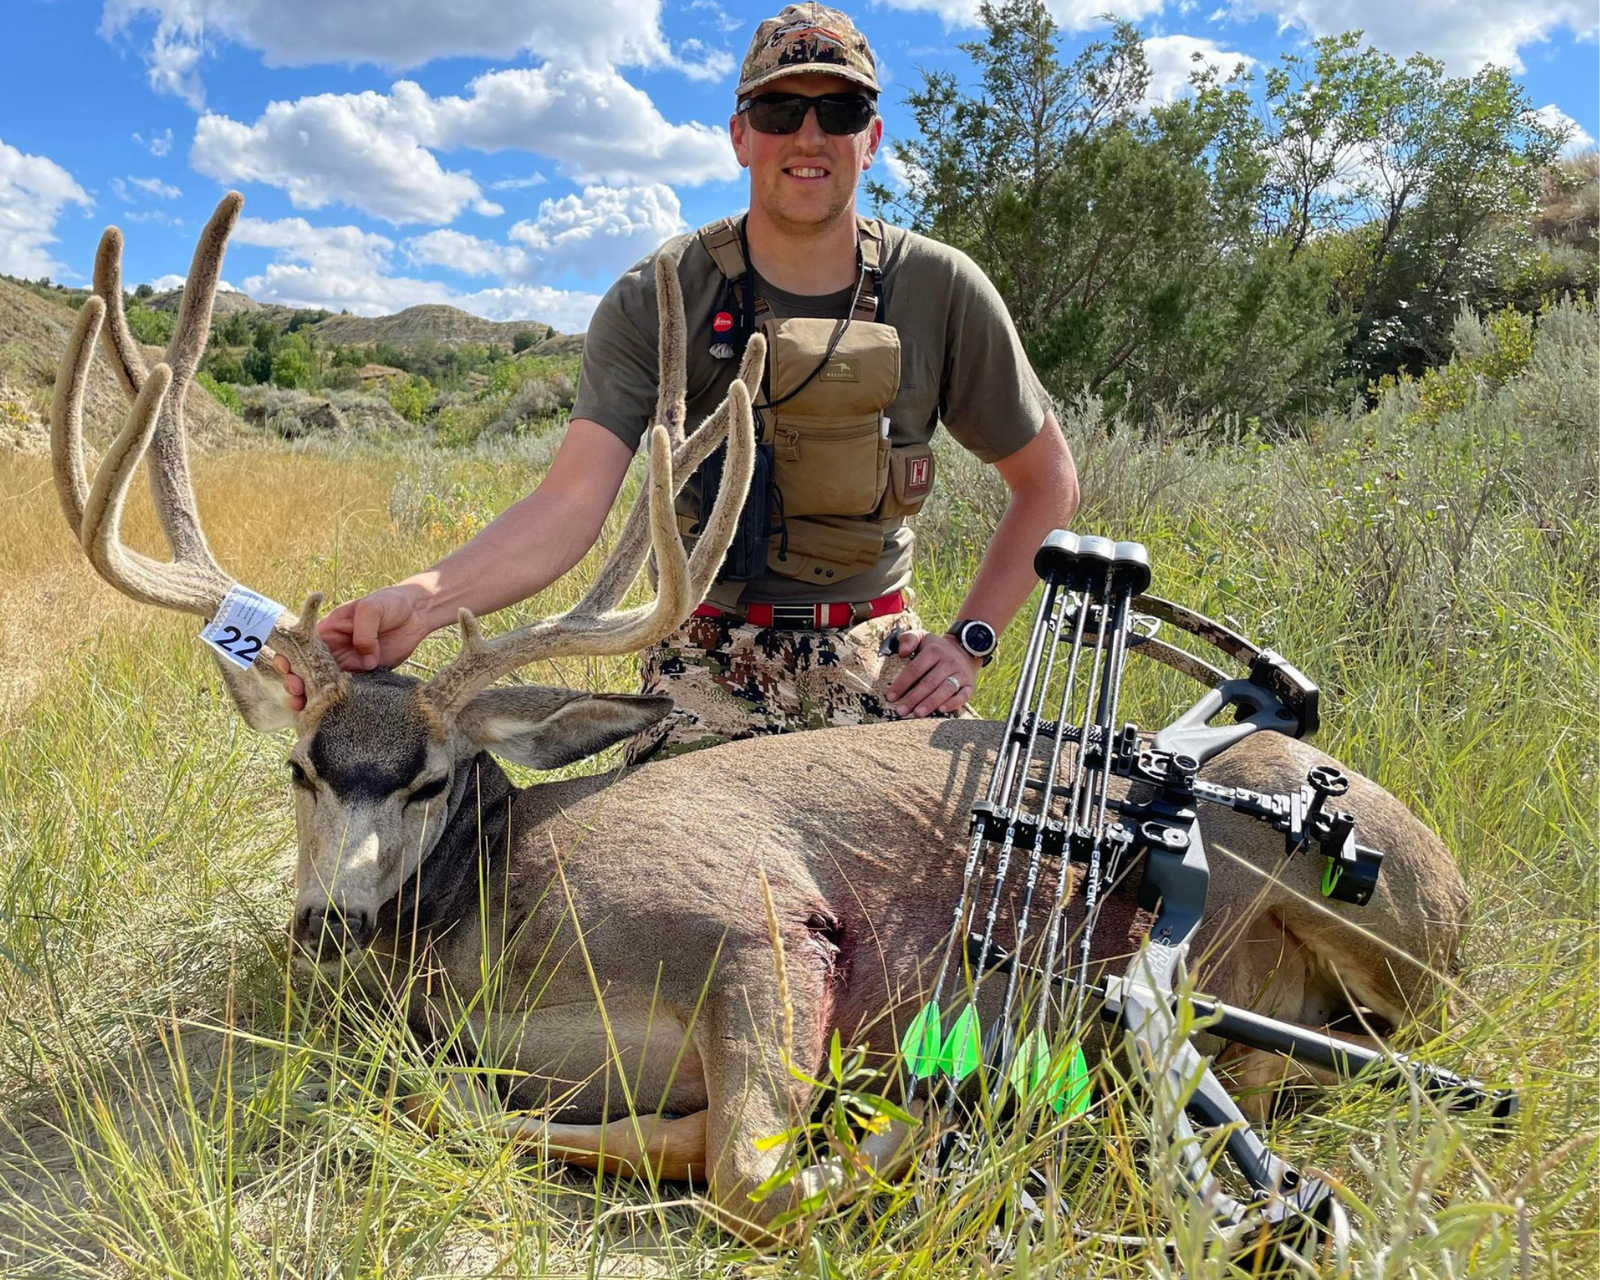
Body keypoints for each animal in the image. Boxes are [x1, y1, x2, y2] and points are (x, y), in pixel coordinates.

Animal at [51, 195, 1471, 1245]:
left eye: (432, 778)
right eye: (301, 763)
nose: (329, 921)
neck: (498, 929)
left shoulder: (758, 912)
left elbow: (753, 1171)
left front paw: (905, 1130)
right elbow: (460, 1104)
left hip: (1356, 916)